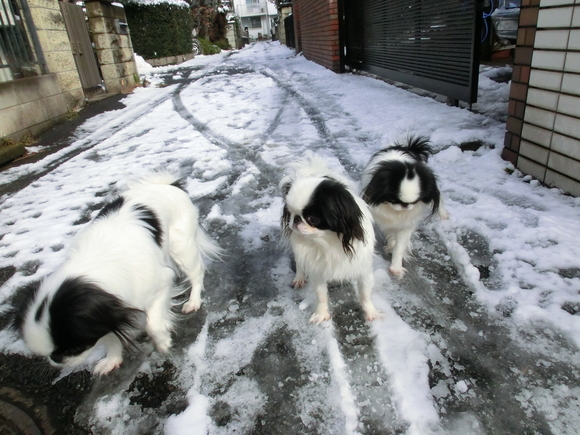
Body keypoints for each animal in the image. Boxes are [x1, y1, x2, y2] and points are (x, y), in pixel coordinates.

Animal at [16, 170, 220, 374]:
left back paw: (193, 301)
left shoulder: (162, 283)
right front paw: (112, 359)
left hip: (181, 248)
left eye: (74, 348)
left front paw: (163, 341)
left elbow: (152, 324)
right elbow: (111, 336)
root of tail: (167, 184)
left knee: (196, 273)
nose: (56, 360)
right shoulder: (110, 310)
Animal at [280, 153, 380, 324]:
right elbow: (321, 294)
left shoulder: (363, 268)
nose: (295, 219)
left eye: (312, 219)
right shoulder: (317, 270)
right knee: (299, 262)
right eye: (290, 212)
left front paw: (371, 313)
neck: (327, 241)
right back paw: (299, 277)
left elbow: (365, 294)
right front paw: (321, 314)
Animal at [362, 136, 448, 280]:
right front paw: (391, 245)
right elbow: (391, 234)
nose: (405, 205)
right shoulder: (383, 219)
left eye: (416, 201)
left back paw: (443, 214)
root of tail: (409, 147)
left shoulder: (407, 225)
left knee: (439, 195)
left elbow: (400, 246)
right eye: (393, 199)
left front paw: (395, 268)